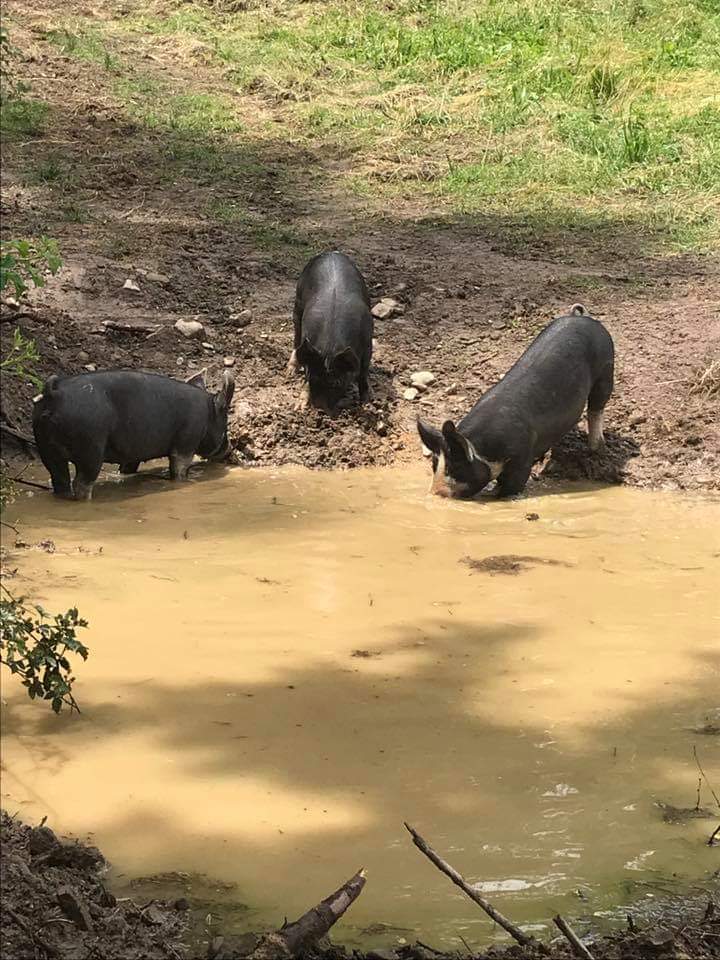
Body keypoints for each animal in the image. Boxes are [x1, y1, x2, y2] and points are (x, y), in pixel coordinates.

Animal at [32, 368, 235, 500]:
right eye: (225, 422)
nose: (230, 449)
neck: (208, 412)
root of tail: (54, 393)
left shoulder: (132, 454)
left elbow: (127, 468)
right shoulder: (185, 444)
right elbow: (179, 470)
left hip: (46, 449)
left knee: (60, 480)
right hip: (90, 450)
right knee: (81, 483)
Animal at [287, 251, 373, 410]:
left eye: (337, 382)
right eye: (313, 377)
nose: (320, 408)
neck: (330, 347)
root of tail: (331, 253)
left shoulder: (368, 343)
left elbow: (363, 373)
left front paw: (367, 403)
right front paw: (300, 407)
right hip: (298, 302)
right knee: (296, 337)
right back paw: (290, 372)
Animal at [417, 305, 614, 499]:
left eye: (456, 468)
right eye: (434, 465)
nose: (434, 495)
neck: (483, 450)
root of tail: (582, 317)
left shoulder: (522, 457)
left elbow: (512, 487)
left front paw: (496, 496)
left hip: (606, 369)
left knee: (597, 407)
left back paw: (597, 448)